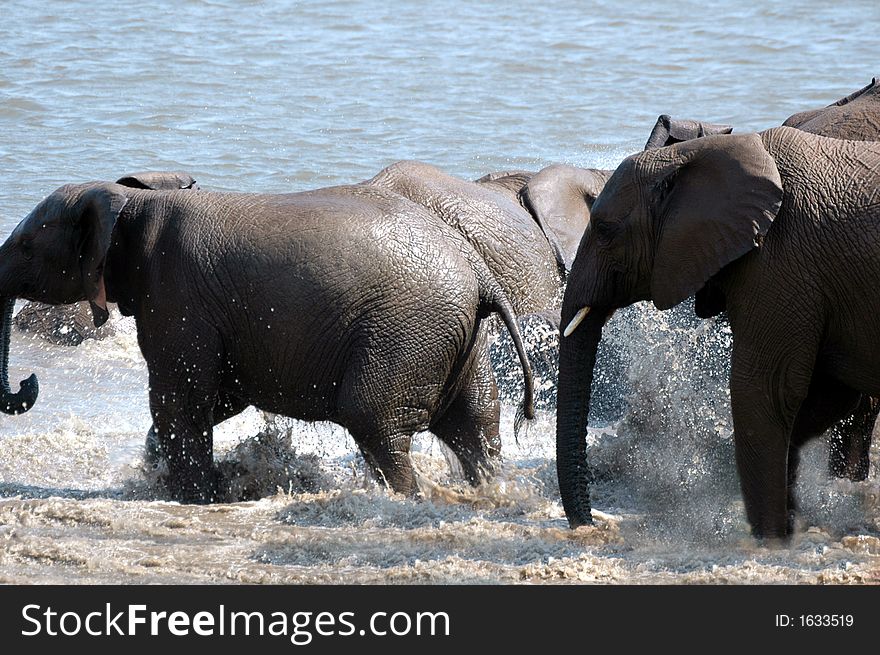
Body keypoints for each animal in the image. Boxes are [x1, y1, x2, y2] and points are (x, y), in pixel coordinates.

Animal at [560, 125, 880, 540]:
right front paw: (791, 522)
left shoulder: (779, 264)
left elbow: (764, 390)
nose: (588, 525)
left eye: (603, 230)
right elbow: (824, 398)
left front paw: (771, 541)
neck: (701, 150)